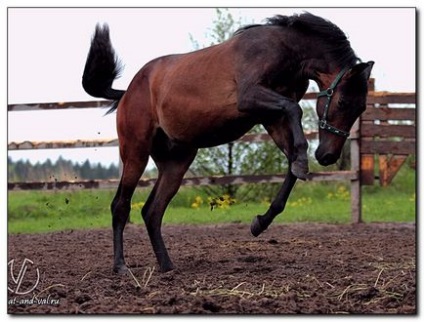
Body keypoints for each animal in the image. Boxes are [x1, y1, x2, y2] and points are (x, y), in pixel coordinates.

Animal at [83, 13, 374, 274]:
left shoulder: (271, 117)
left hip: (176, 162)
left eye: (361, 108)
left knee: (152, 211)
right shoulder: (251, 97)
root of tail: (127, 92)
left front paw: (260, 222)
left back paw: (167, 266)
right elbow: (295, 111)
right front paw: (303, 162)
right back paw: (120, 266)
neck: (285, 49)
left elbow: (291, 156)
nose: (328, 155)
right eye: (342, 102)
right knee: (121, 205)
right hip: (135, 152)